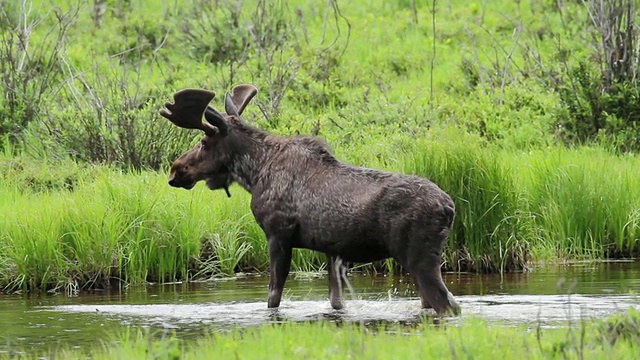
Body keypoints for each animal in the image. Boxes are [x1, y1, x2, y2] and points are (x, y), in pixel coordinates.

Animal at [160, 83, 460, 316]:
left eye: (203, 142)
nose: (176, 170)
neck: (255, 172)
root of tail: (449, 209)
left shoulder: (278, 234)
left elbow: (273, 297)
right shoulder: (332, 250)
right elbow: (336, 302)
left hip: (418, 257)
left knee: (448, 305)